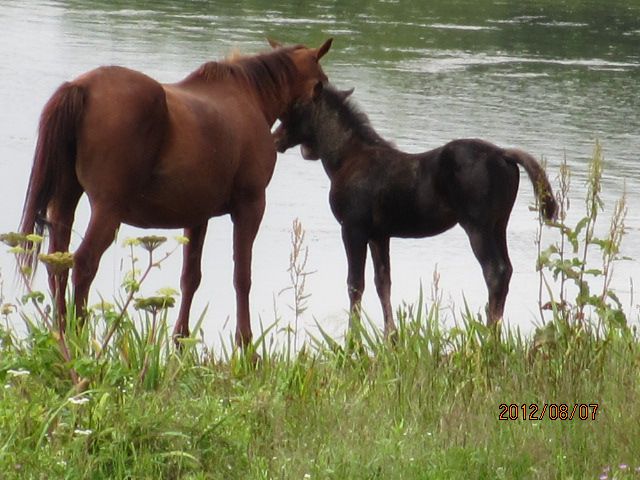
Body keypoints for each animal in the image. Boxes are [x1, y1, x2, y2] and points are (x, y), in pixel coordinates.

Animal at [17, 37, 332, 344]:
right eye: (321, 85)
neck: (248, 97)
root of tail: (81, 87)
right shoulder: (250, 206)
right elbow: (242, 276)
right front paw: (245, 343)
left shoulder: (197, 216)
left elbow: (190, 277)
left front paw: (181, 339)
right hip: (107, 210)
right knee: (83, 263)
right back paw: (78, 336)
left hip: (65, 201)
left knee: (58, 263)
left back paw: (62, 332)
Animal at [274, 84, 556, 336]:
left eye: (295, 107)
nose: (276, 138)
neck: (341, 160)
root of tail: (505, 155)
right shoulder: (379, 234)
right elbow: (382, 282)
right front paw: (390, 335)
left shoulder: (353, 228)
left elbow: (355, 284)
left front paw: (353, 339)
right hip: (500, 224)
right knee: (506, 270)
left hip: (478, 226)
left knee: (495, 271)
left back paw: (487, 336)